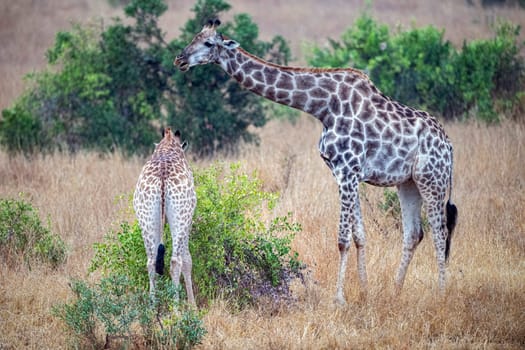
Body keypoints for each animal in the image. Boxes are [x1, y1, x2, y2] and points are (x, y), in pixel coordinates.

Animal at [132, 127, 195, 304]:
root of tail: (162, 177)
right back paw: (176, 307)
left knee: (151, 261)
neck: (167, 146)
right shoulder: (189, 220)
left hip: (146, 218)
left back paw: (153, 306)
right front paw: (193, 306)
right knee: (175, 261)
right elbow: (187, 259)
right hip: (181, 216)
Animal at [174, 19, 456, 304]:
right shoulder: (345, 172)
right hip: (408, 182)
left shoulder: (347, 169)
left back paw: (442, 294)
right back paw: (396, 291)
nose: (180, 59)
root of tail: (448, 146)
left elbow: (343, 239)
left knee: (440, 232)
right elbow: (359, 236)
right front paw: (365, 291)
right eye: (194, 37)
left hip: (432, 178)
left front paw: (339, 299)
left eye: (208, 43)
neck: (323, 107)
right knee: (414, 233)